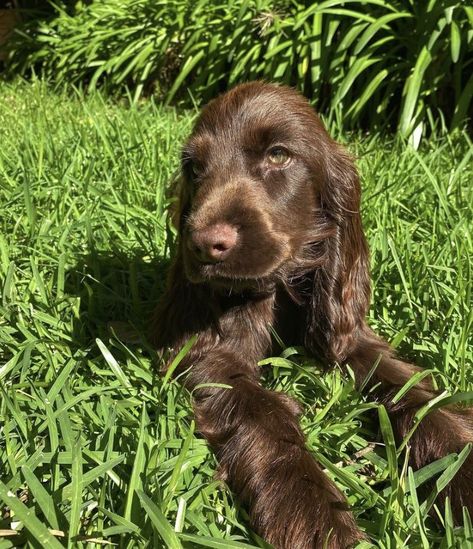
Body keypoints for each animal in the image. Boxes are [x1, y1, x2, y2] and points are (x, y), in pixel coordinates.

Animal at [153, 82, 470, 548]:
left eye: (278, 155)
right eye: (194, 168)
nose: (205, 245)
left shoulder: (346, 331)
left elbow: (408, 388)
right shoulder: (213, 355)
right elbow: (263, 413)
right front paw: (314, 510)